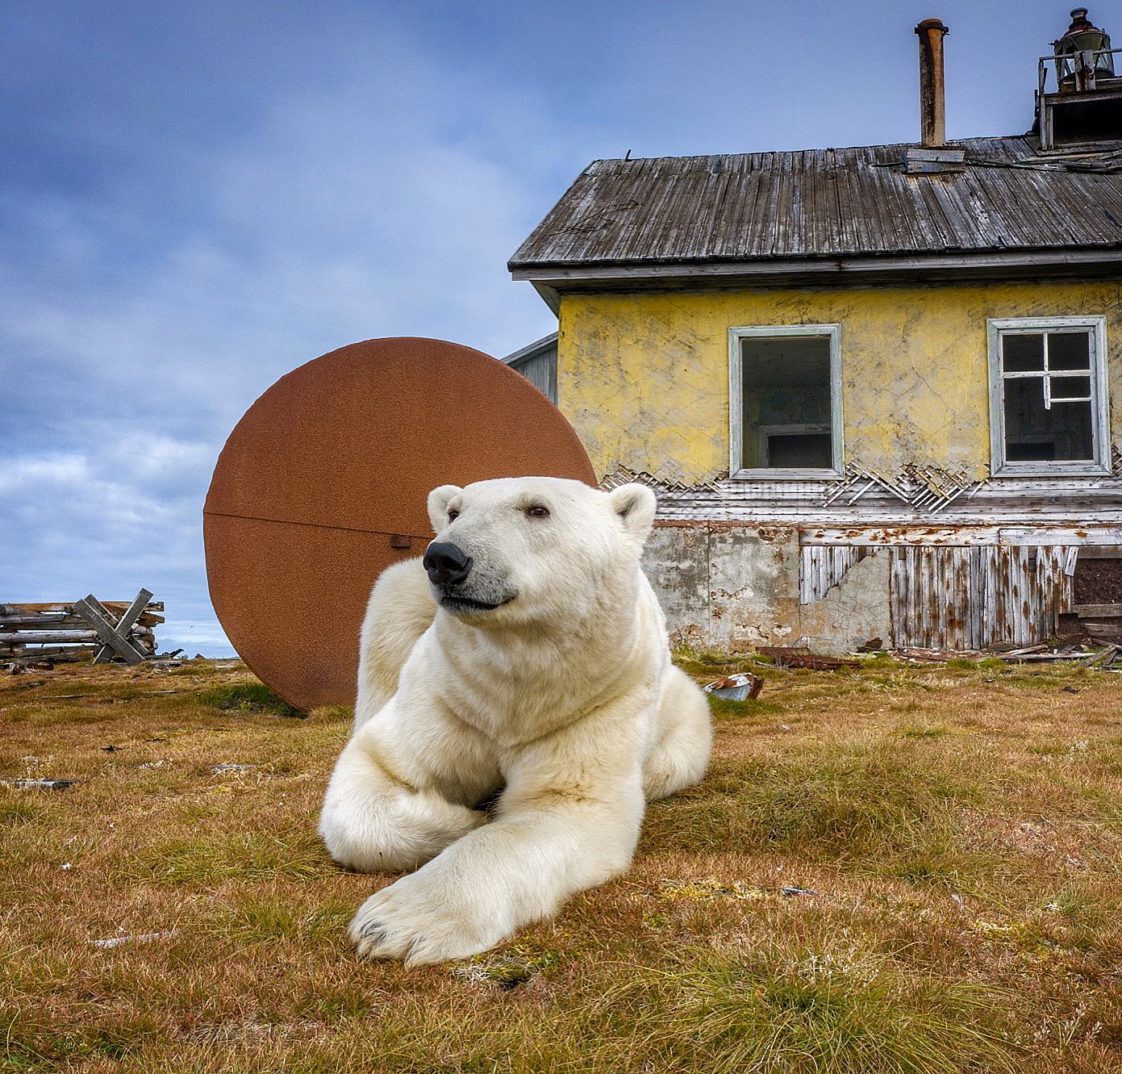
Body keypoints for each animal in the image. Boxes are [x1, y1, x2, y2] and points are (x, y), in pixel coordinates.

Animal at [316, 478, 709, 965]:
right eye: (454, 511)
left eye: (537, 509)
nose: (445, 558)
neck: (514, 693)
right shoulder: (449, 694)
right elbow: (378, 771)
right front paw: (461, 819)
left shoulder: (596, 702)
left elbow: (565, 803)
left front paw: (397, 922)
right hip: (404, 603)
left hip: (680, 710)